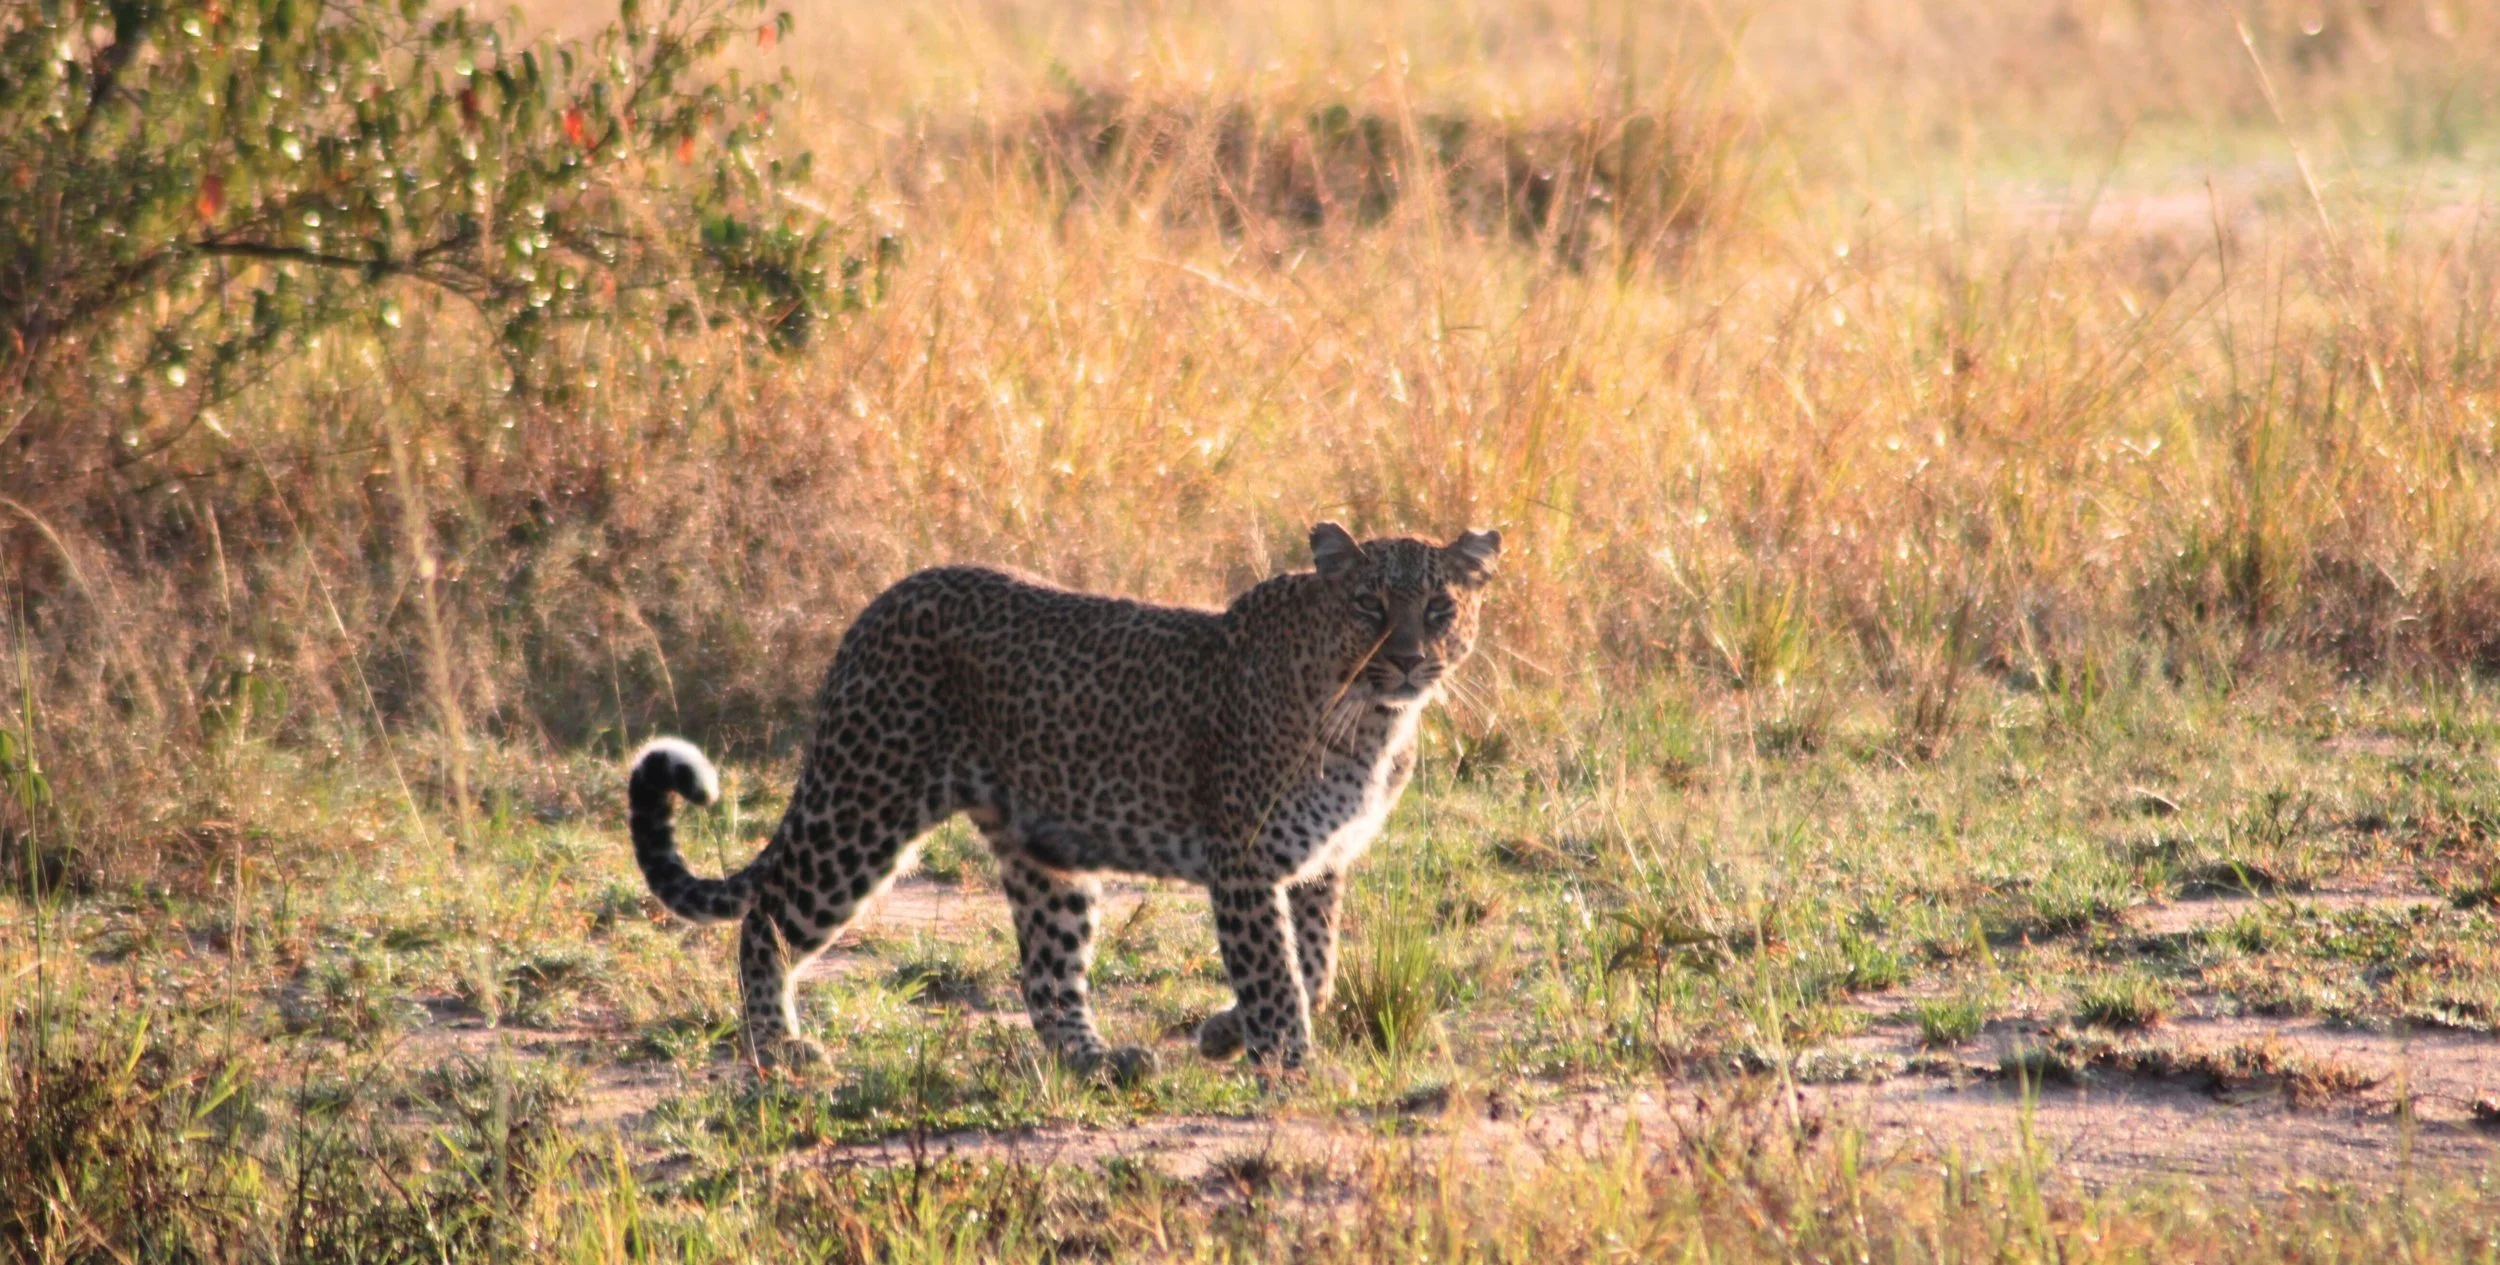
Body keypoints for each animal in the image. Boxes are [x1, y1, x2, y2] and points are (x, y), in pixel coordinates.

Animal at [623, 522, 1500, 1079]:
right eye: (1369, 606)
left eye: (1440, 608)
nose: (1411, 658)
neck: (1373, 722)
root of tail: (876, 607)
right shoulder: (1246, 861)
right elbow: (1276, 973)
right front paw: (1290, 1062)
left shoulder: (1320, 862)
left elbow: (1313, 968)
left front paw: (1226, 1033)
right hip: (862, 805)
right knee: (767, 915)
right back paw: (777, 1046)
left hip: (1044, 851)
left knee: (1047, 977)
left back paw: (1096, 1059)